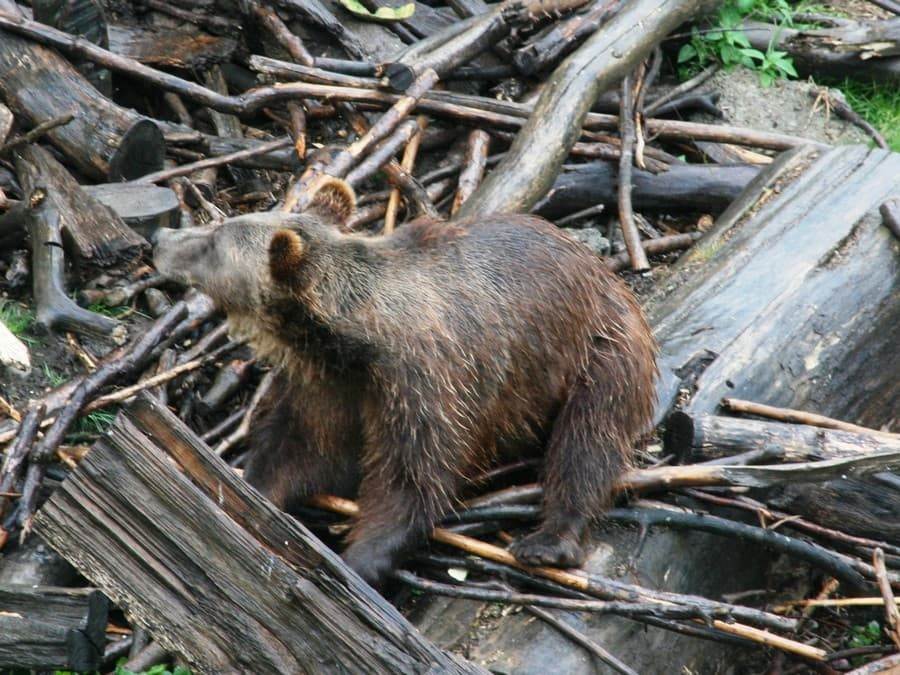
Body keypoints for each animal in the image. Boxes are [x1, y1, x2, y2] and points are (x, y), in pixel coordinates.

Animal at [155, 182, 656, 588]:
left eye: (214, 242)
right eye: (219, 226)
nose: (161, 239)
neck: (351, 344)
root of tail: (602, 267)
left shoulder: (426, 382)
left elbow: (412, 476)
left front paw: (359, 558)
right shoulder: (327, 386)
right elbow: (297, 449)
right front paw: (246, 489)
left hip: (598, 349)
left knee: (587, 440)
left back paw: (549, 540)